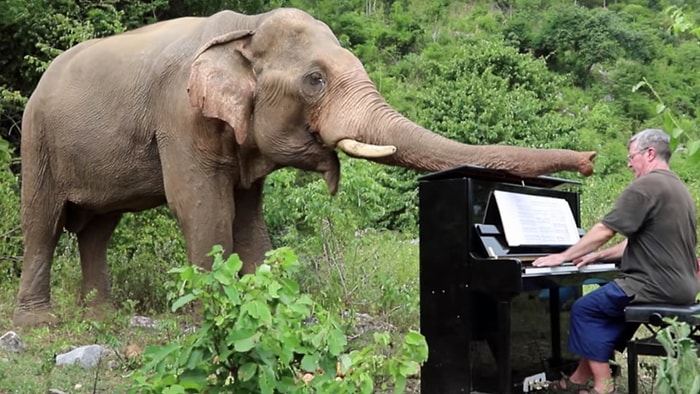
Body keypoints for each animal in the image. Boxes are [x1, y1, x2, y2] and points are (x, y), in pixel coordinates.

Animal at [15, 6, 596, 326]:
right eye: (315, 80)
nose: (590, 161)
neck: (245, 29)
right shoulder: (179, 115)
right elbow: (202, 206)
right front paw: (209, 320)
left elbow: (248, 217)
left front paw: (264, 310)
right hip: (37, 139)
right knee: (43, 222)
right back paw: (41, 322)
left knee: (98, 229)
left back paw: (99, 316)